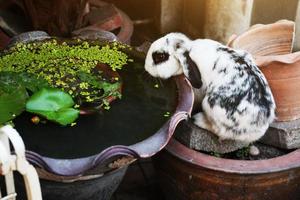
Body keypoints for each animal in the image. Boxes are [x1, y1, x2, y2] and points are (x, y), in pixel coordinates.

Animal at [144, 32, 276, 143]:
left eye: (160, 56)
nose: (146, 68)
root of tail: (256, 126)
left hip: (209, 102)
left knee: (220, 132)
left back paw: (198, 119)